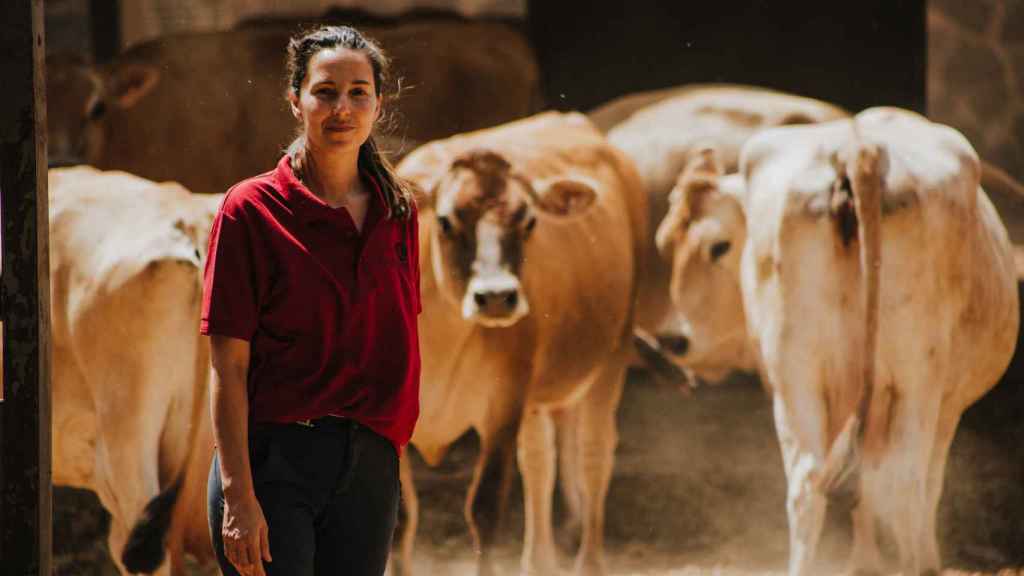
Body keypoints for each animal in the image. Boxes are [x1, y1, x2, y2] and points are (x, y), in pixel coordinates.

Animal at [393, 112, 647, 573]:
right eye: (446, 222)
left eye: (529, 222)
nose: (496, 296)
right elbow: (401, 517)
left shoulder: (503, 402)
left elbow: (485, 507)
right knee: (539, 461)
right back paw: (539, 561)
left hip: (611, 356)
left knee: (594, 458)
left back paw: (589, 561)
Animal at [655, 108, 1015, 573]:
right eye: (666, 245)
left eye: (719, 246)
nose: (672, 340)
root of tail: (858, 149)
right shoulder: (945, 405)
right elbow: (923, 485)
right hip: (917, 379)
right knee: (903, 480)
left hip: (797, 380)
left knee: (810, 484)